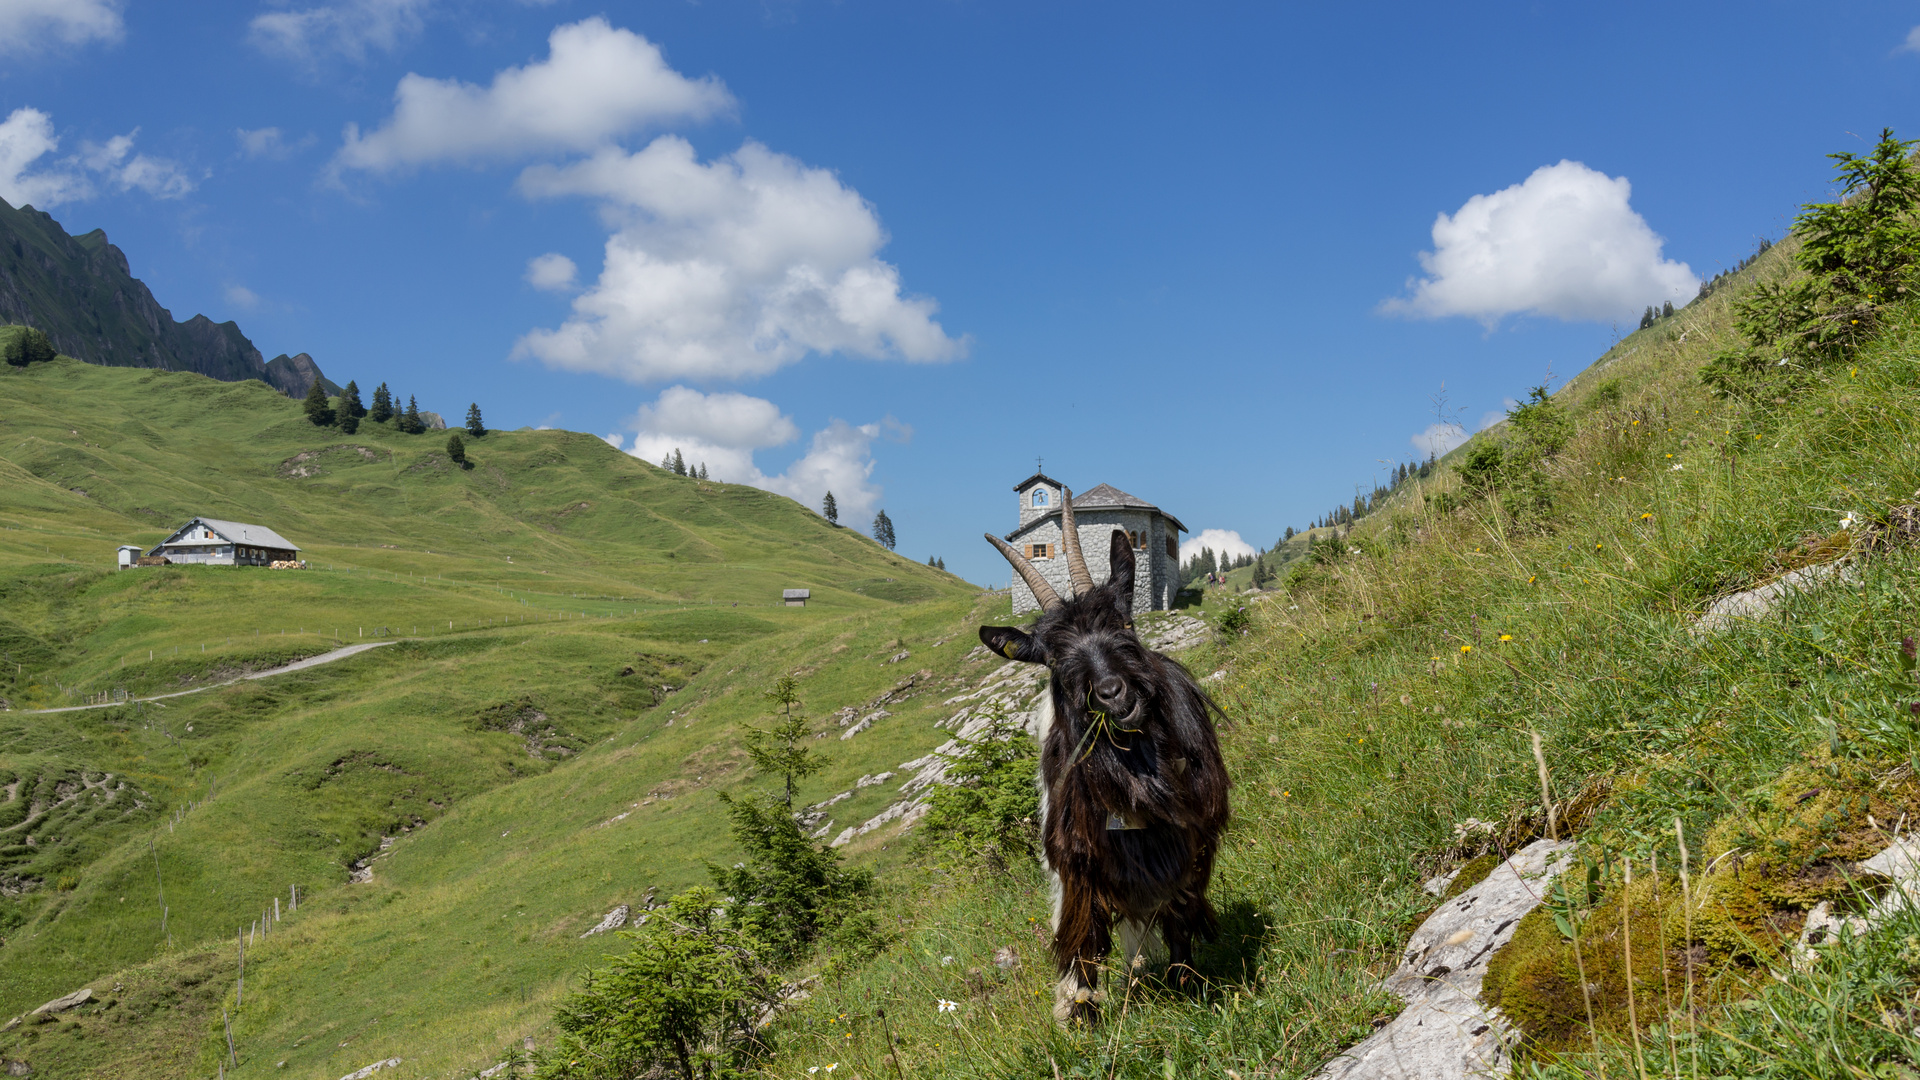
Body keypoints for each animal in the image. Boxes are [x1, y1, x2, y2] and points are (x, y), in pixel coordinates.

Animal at [983, 491, 1236, 1022]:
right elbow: (1084, 934)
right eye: (1053, 659)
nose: (1112, 694)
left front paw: (1186, 982)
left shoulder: (1193, 840)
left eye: (1124, 621)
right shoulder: (1079, 860)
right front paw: (1081, 1010)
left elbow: (1180, 914)